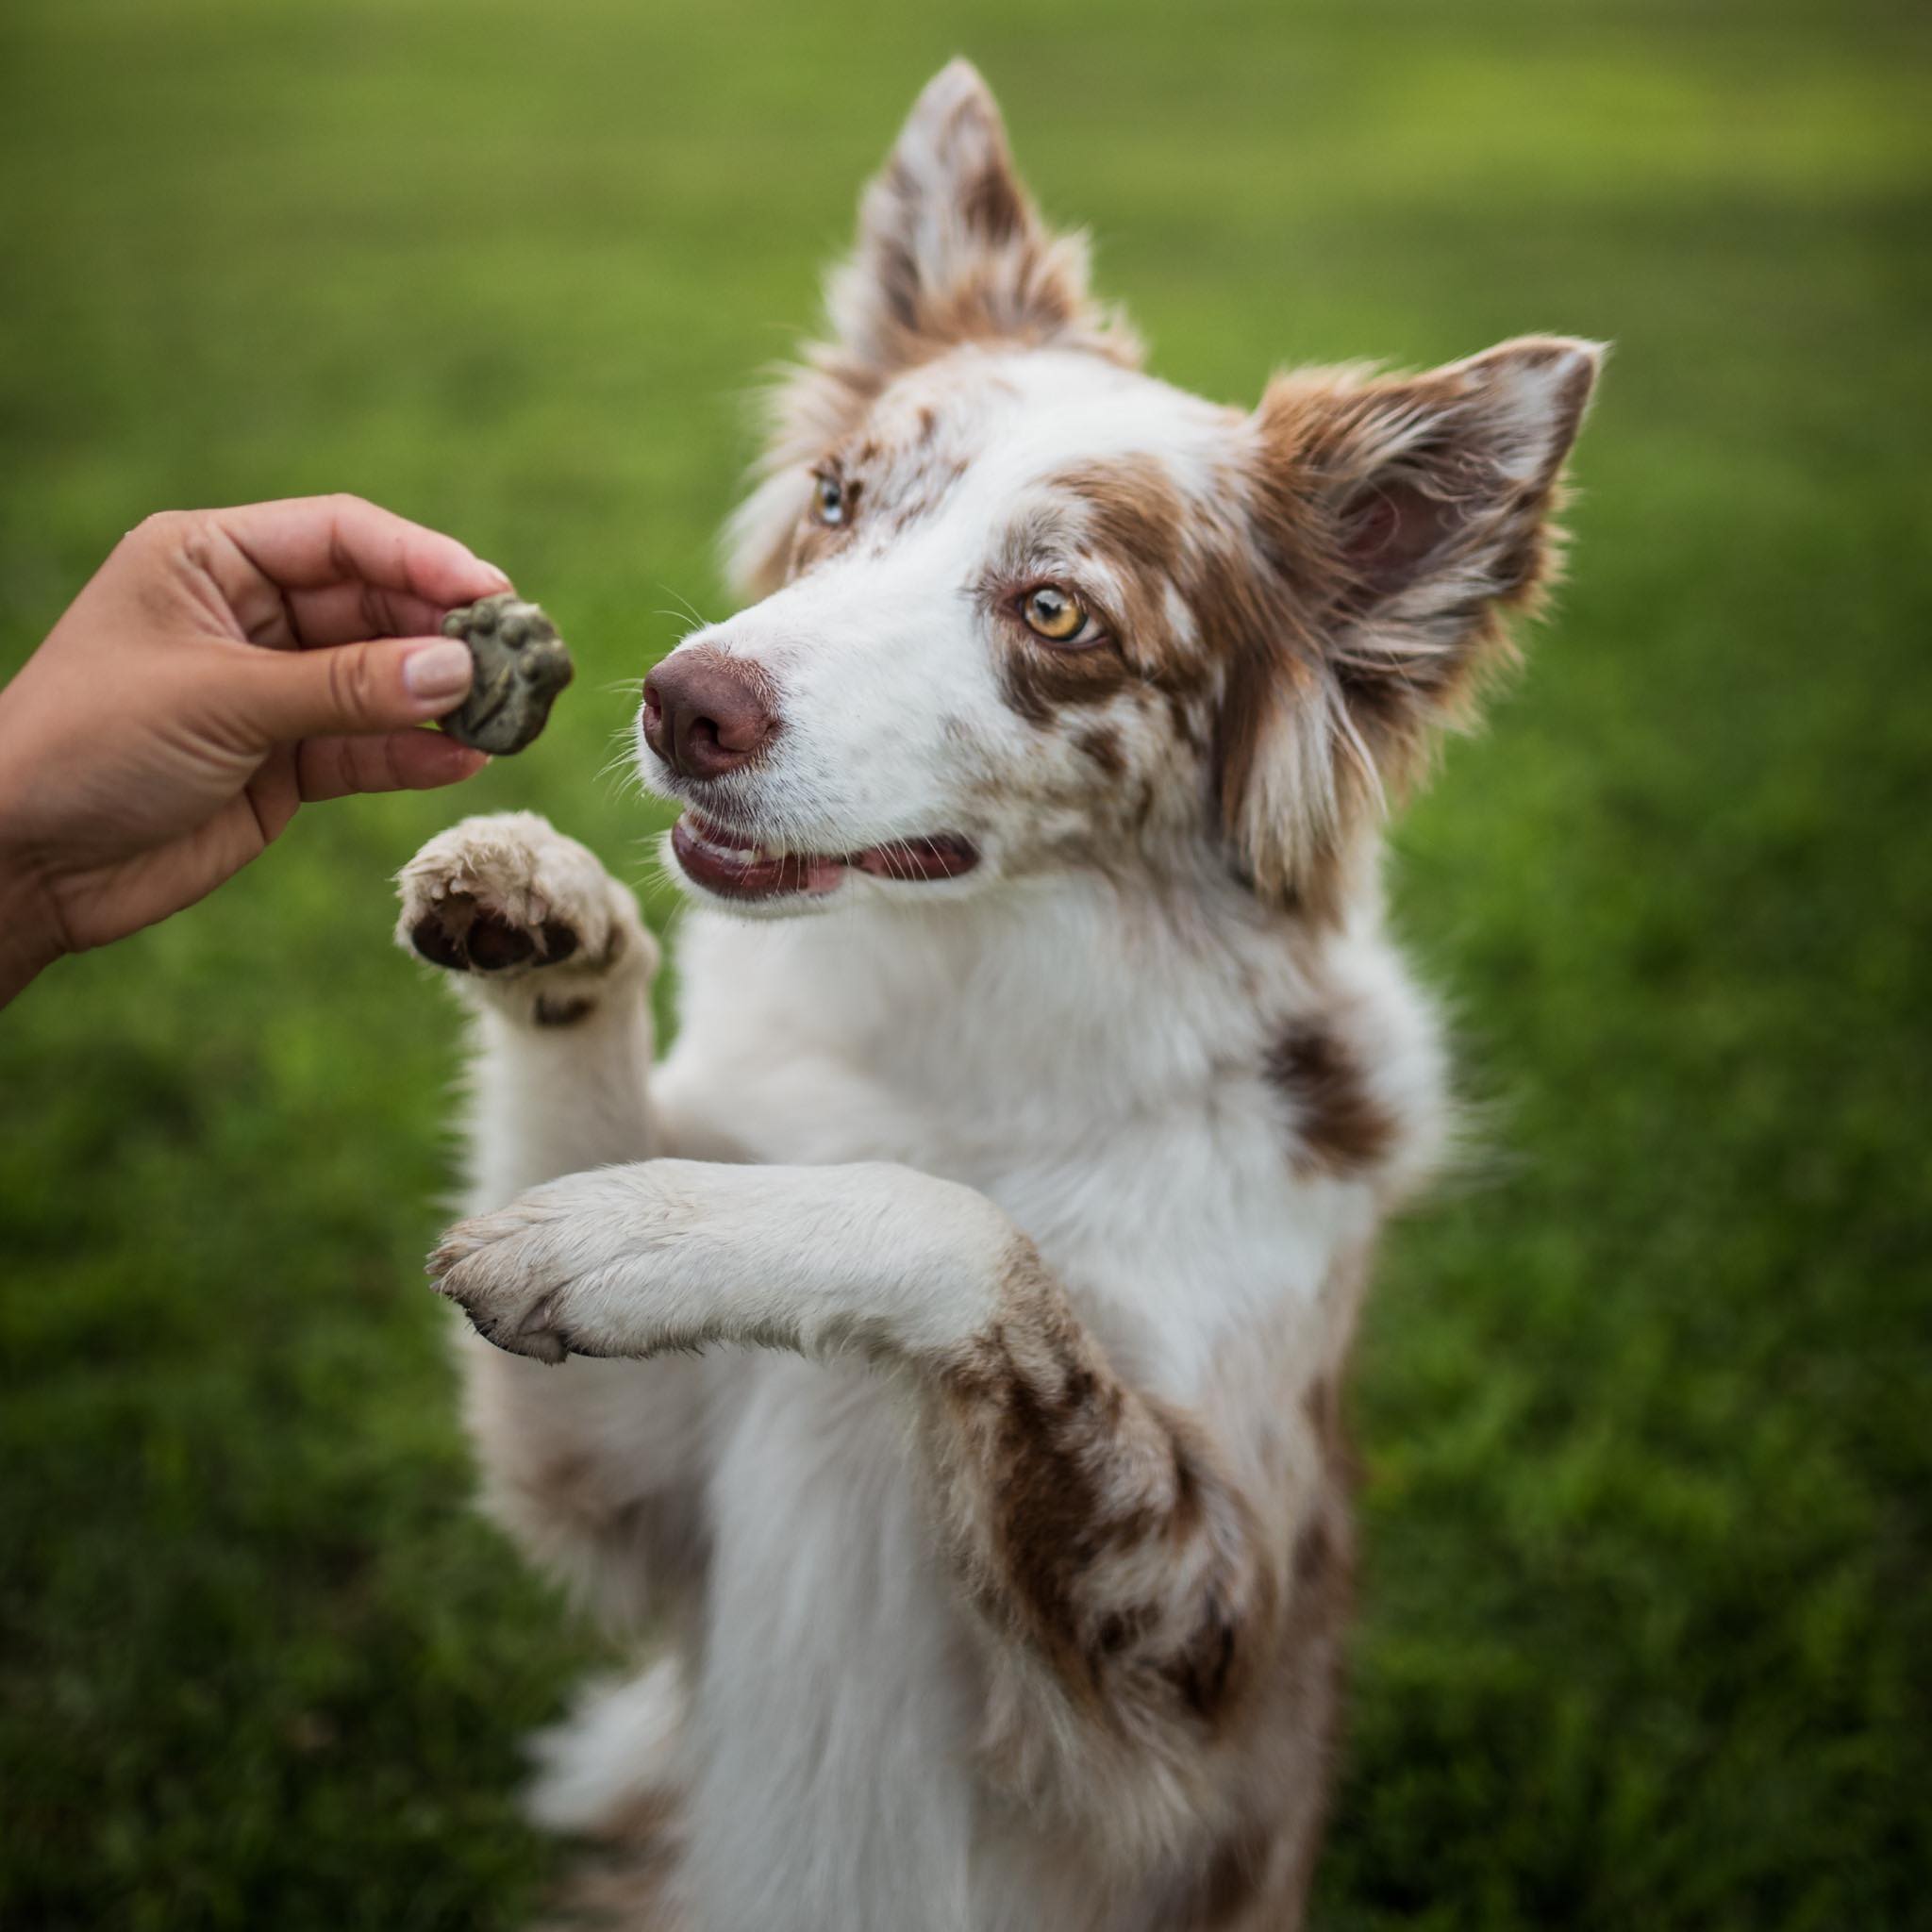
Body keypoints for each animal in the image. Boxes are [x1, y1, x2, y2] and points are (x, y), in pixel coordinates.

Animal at [391, 60, 1599, 1932]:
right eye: (835, 498)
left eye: (1056, 613)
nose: (683, 703)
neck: (965, 1041)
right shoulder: (638, 1480)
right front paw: (553, 920)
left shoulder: (1196, 1644)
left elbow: (966, 1234)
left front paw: (634, 1232)